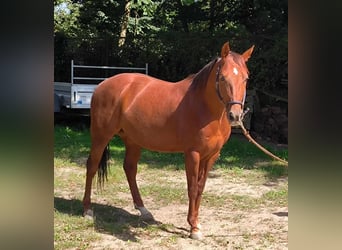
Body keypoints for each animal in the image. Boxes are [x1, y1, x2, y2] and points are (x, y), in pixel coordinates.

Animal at [83, 42, 254, 239]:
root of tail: (102, 84)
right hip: (100, 136)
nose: (235, 115)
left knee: (130, 169)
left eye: (246, 78)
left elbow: (201, 188)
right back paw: (87, 210)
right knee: (92, 166)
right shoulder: (193, 154)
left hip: (133, 140)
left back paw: (144, 210)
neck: (204, 107)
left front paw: (196, 223)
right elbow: (192, 188)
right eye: (223, 77)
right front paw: (193, 228)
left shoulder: (212, 155)